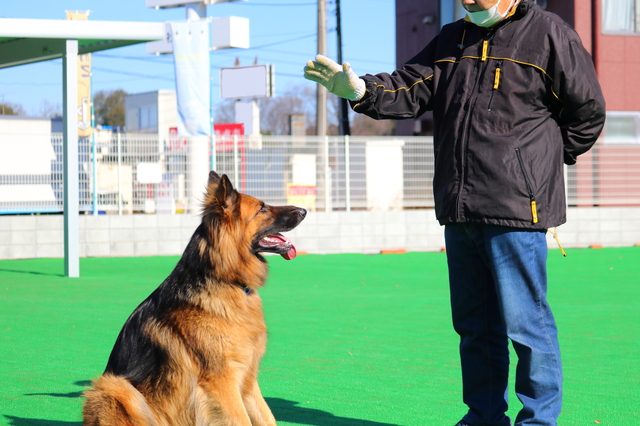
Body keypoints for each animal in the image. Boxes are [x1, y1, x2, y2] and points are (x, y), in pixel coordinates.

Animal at [83, 171, 308, 424]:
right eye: (262, 208)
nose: (303, 210)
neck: (225, 280)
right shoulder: (222, 382)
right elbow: (241, 419)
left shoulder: (247, 380)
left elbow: (267, 417)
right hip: (114, 386)